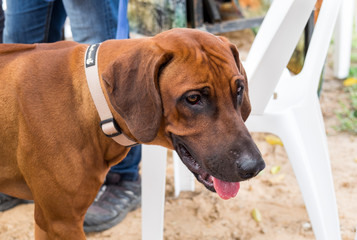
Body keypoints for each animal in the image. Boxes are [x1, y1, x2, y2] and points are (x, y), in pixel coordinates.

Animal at [0, 28, 264, 238]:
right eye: (193, 98)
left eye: (239, 90)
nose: (255, 167)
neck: (92, 101)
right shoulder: (61, 222)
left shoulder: (49, 221)